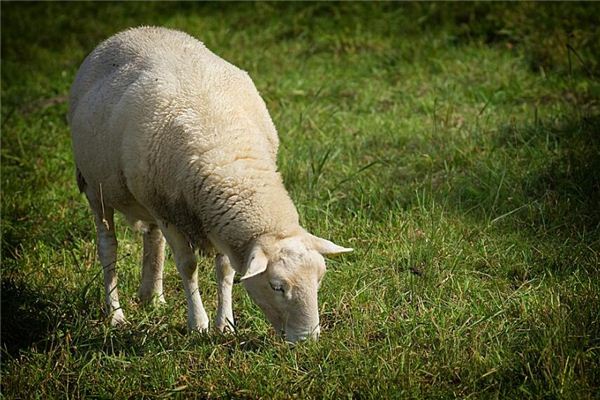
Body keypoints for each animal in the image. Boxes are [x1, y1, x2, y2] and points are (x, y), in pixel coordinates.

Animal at [68, 26, 354, 342]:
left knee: (152, 238)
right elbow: (188, 265)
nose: (308, 340)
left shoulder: (214, 220)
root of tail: (133, 31)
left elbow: (225, 269)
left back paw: (152, 297)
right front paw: (199, 323)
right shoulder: (170, 215)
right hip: (95, 186)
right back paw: (116, 314)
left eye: (320, 278)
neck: (228, 155)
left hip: (147, 197)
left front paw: (225, 323)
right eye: (277, 287)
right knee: (109, 247)